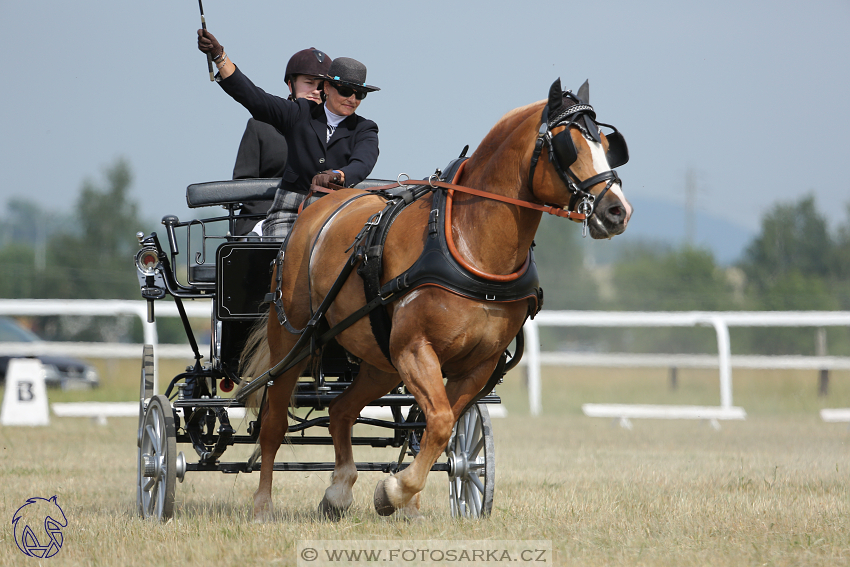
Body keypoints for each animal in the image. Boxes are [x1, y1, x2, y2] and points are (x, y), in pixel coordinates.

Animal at [238, 77, 628, 520]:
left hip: (380, 362)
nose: (617, 211)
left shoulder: (477, 364)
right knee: (274, 423)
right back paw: (264, 505)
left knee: (341, 412)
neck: (471, 245)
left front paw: (405, 497)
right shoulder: (415, 348)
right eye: (569, 146)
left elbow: (435, 427)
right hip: (294, 340)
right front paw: (395, 490)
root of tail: (316, 207)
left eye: (608, 144)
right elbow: (439, 421)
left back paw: (339, 492)